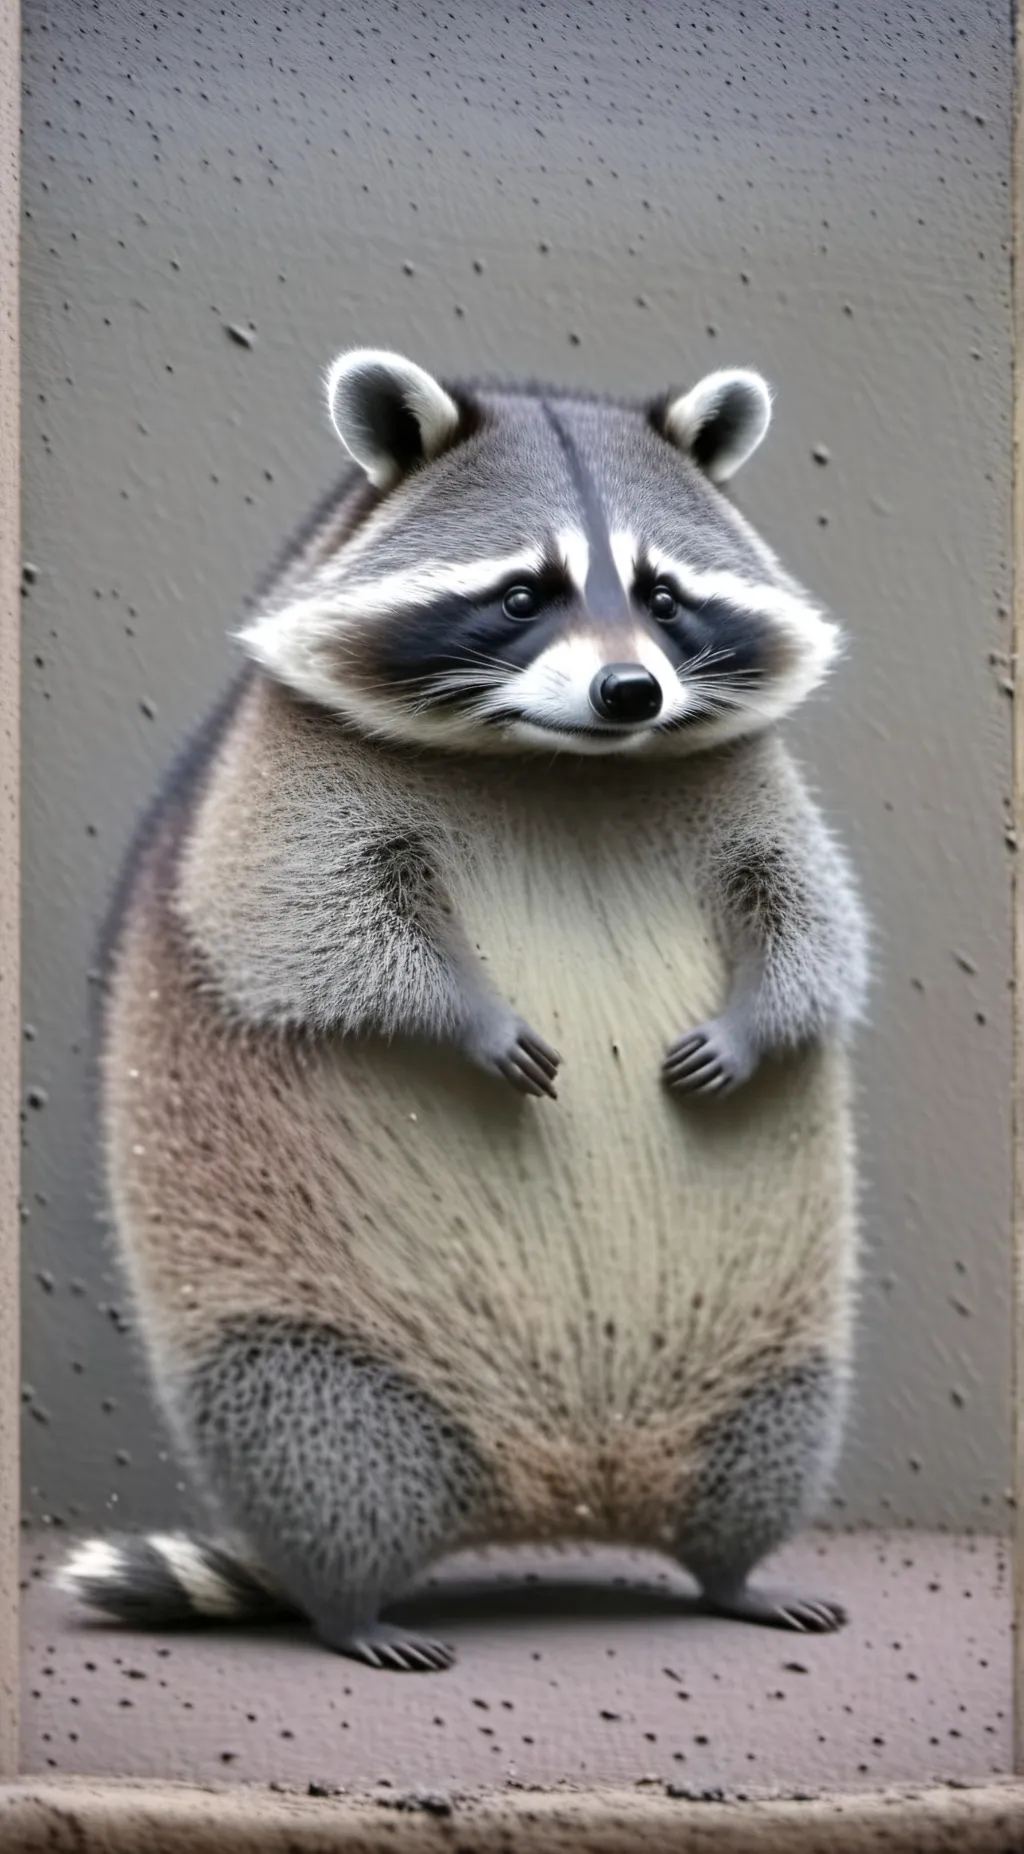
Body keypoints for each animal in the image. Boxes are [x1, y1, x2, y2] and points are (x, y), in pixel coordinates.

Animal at [57, 349, 868, 1672]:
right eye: (523, 593)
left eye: (663, 595)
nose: (630, 690)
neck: (563, 759)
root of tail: (562, 1488)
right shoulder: (282, 781)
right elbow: (298, 925)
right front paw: (467, 1021)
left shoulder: (753, 787)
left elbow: (814, 928)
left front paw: (751, 1031)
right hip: (309, 1360)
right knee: (320, 1455)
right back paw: (351, 1607)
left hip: (771, 1371)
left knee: (766, 1451)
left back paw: (734, 1574)